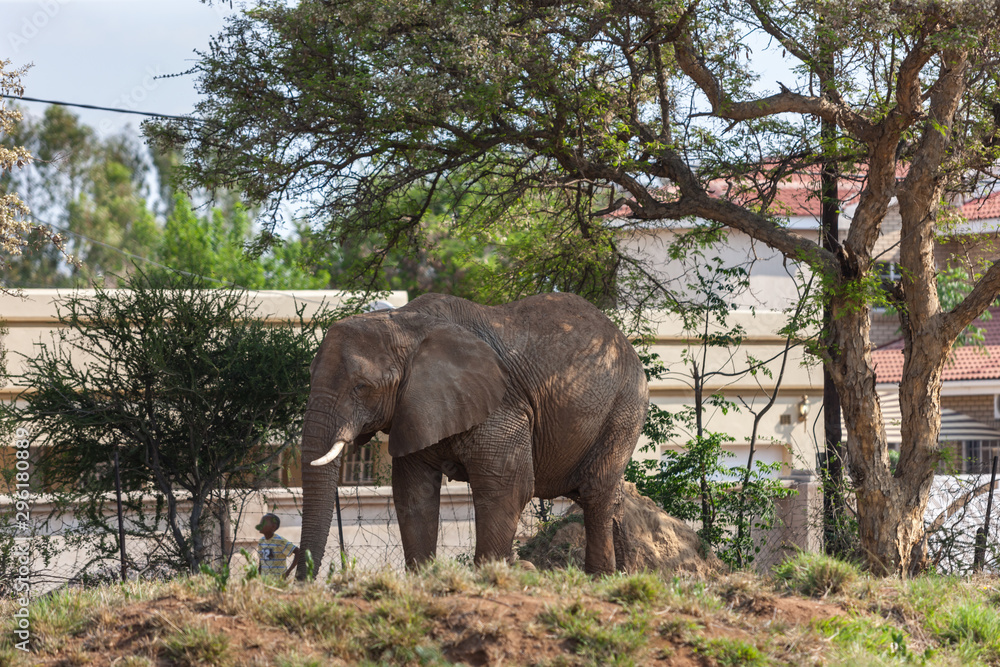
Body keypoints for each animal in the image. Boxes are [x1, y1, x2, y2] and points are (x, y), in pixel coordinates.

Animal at [296, 292, 649, 577]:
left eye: (362, 387)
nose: (302, 580)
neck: (404, 323)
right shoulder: (413, 408)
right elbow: (413, 494)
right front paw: (423, 580)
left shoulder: (502, 405)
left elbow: (506, 487)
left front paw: (491, 576)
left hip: (625, 406)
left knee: (595, 491)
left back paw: (599, 578)